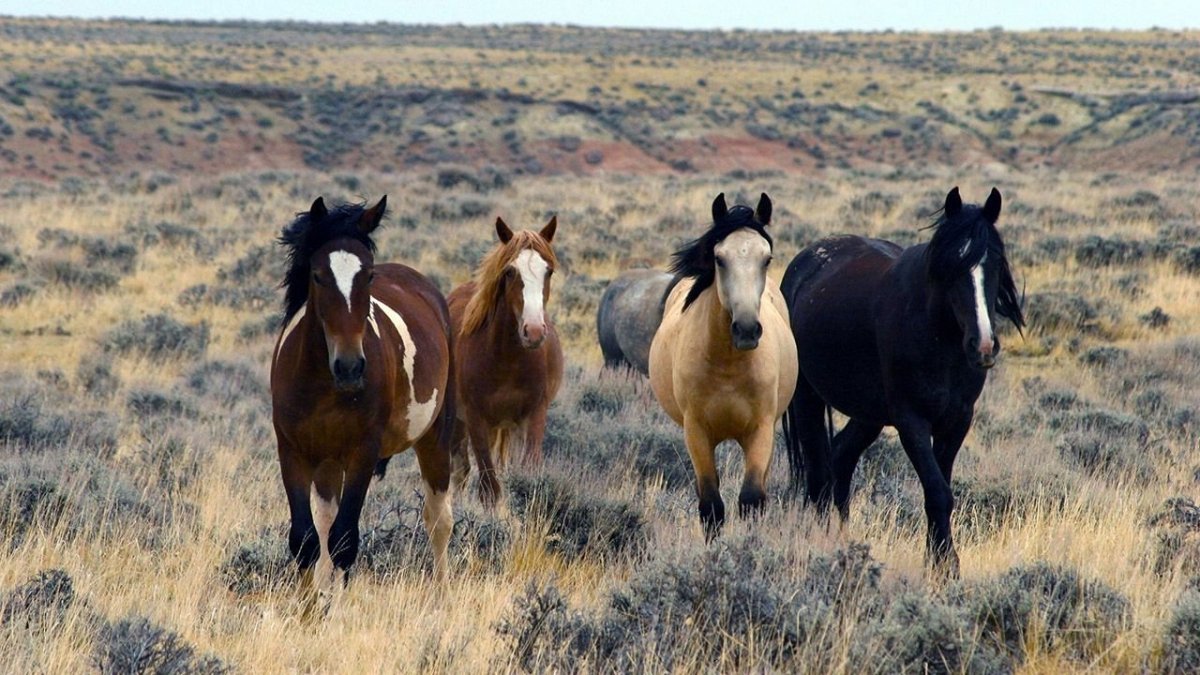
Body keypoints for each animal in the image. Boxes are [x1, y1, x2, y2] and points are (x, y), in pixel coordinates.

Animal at [271, 195, 453, 588]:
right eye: (318, 275)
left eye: (368, 275)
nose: (350, 366)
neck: (323, 386)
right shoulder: (293, 452)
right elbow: (306, 538)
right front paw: (309, 602)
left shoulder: (362, 454)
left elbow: (344, 541)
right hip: (327, 462)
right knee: (325, 523)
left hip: (435, 437)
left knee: (439, 520)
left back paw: (441, 593)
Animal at [448, 214, 564, 504]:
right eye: (510, 272)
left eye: (548, 271)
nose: (533, 331)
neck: (507, 361)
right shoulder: (475, 419)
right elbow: (489, 487)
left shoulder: (534, 415)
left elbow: (528, 473)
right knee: (460, 471)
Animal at [648, 193, 796, 535]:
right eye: (719, 258)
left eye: (766, 259)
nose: (746, 330)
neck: (727, 365)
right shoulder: (697, 433)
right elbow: (711, 505)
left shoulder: (761, 430)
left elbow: (752, 500)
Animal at [782, 186, 1027, 576]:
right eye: (951, 267)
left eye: (994, 263)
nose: (984, 345)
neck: (939, 338)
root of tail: (804, 263)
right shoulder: (911, 420)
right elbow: (938, 492)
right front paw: (945, 567)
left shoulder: (957, 420)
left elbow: (941, 488)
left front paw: (940, 563)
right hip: (808, 398)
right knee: (819, 472)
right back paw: (820, 541)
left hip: (868, 414)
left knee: (841, 458)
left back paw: (842, 538)